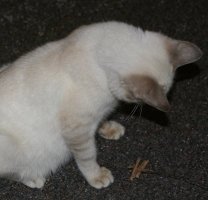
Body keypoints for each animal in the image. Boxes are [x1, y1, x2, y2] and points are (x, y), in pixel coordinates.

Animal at [0, 21, 202, 189]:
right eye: (138, 100)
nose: (138, 104)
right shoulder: (77, 130)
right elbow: (88, 157)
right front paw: (97, 176)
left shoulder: (98, 114)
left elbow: (102, 121)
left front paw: (110, 129)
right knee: (11, 172)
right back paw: (33, 178)